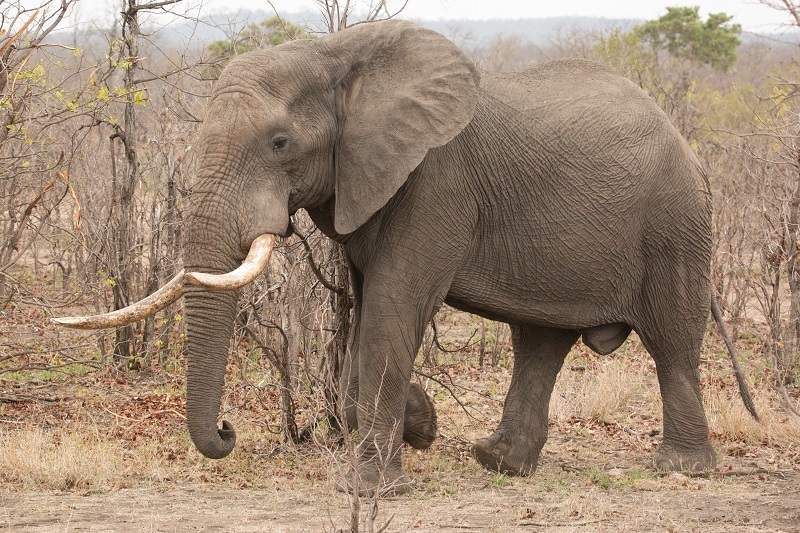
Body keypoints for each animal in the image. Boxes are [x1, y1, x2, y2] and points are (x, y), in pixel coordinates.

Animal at [55, 19, 754, 495]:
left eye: (280, 142)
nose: (227, 432)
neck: (336, 57)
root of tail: (684, 141)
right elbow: (368, 309)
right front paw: (420, 426)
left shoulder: (436, 182)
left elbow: (394, 308)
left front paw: (371, 488)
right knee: (541, 340)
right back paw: (497, 461)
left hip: (676, 225)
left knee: (671, 342)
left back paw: (682, 468)